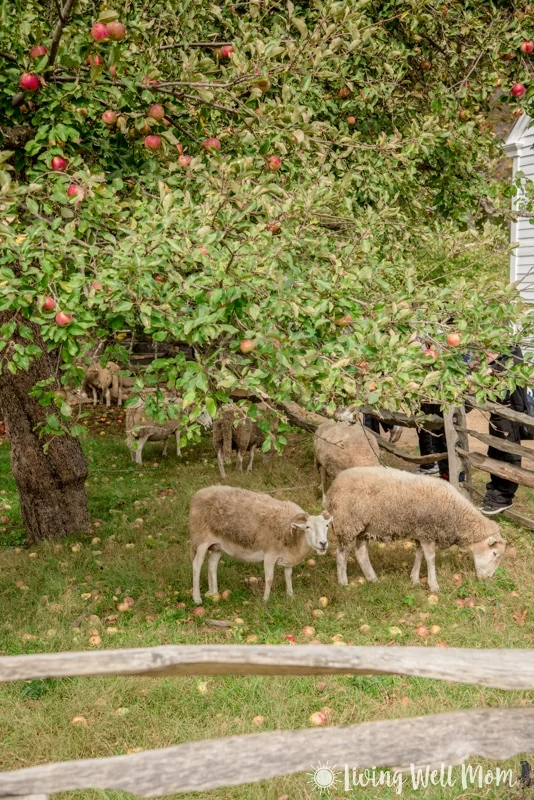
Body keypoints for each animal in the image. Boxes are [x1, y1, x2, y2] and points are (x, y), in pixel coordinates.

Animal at [191, 484, 332, 604]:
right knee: (196, 565)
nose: (323, 543)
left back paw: (214, 593)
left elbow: (288, 576)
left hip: (218, 546)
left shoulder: (288, 558)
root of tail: (199, 494)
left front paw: (290, 595)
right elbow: (269, 579)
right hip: (201, 541)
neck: (295, 537)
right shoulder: (270, 555)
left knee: (212, 565)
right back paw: (197, 598)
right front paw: (265, 600)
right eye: (308, 527)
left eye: (326, 526)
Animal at [326, 462, 506, 592]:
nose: (488, 579)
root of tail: (333, 487)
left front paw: (414, 579)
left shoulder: (421, 532)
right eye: (494, 553)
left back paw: (373, 579)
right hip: (347, 524)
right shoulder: (427, 532)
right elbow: (430, 558)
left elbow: (419, 555)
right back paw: (343, 583)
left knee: (361, 553)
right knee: (341, 555)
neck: (455, 515)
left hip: (364, 528)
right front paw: (434, 585)